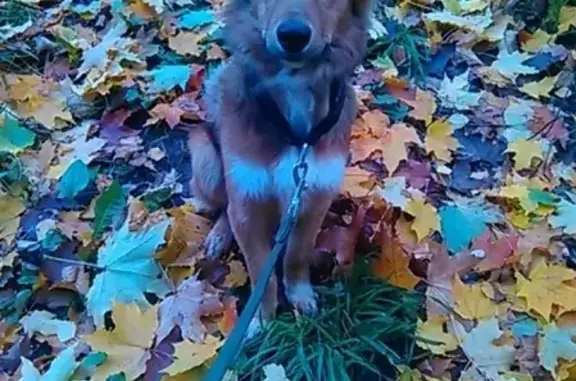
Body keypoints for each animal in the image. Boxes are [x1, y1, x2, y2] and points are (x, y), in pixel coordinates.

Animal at [187, 0, 372, 332]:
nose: (293, 36)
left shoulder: (314, 197)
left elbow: (296, 254)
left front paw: (300, 297)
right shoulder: (247, 201)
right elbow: (261, 271)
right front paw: (262, 320)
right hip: (204, 155)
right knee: (224, 206)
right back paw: (219, 235)